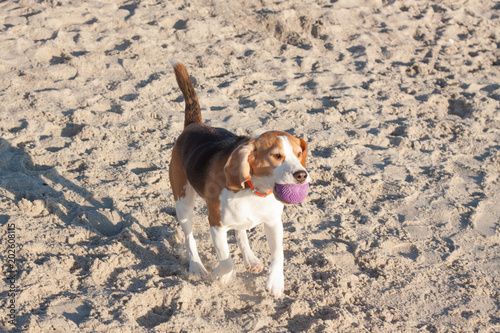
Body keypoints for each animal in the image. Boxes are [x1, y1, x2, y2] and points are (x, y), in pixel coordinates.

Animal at [169, 61, 308, 296]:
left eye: (299, 154)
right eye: (276, 155)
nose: (302, 175)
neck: (255, 191)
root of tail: (194, 125)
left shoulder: (274, 222)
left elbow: (278, 255)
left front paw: (275, 282)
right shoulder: (216, 224)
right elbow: (226, 262)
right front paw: (220, 274)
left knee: (241, 231)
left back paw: (250, 258)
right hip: (183, 202)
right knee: (189, 237)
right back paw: (197, 267)